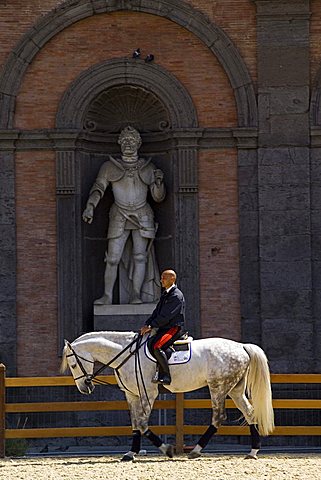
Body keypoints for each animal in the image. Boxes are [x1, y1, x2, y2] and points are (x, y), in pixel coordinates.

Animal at [61, 330, 274, 462]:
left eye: (73, 364)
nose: (84, 387)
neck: (126, 355)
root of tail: (241, 346)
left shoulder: (149, 393)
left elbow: (143, 425)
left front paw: (167, 449)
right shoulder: (131, 395)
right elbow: (135, 425)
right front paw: (130, 453)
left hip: (218, 387)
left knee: (218, 417)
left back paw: (196, 450)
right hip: (235, 389)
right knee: (249, 413)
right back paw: (253, 452)